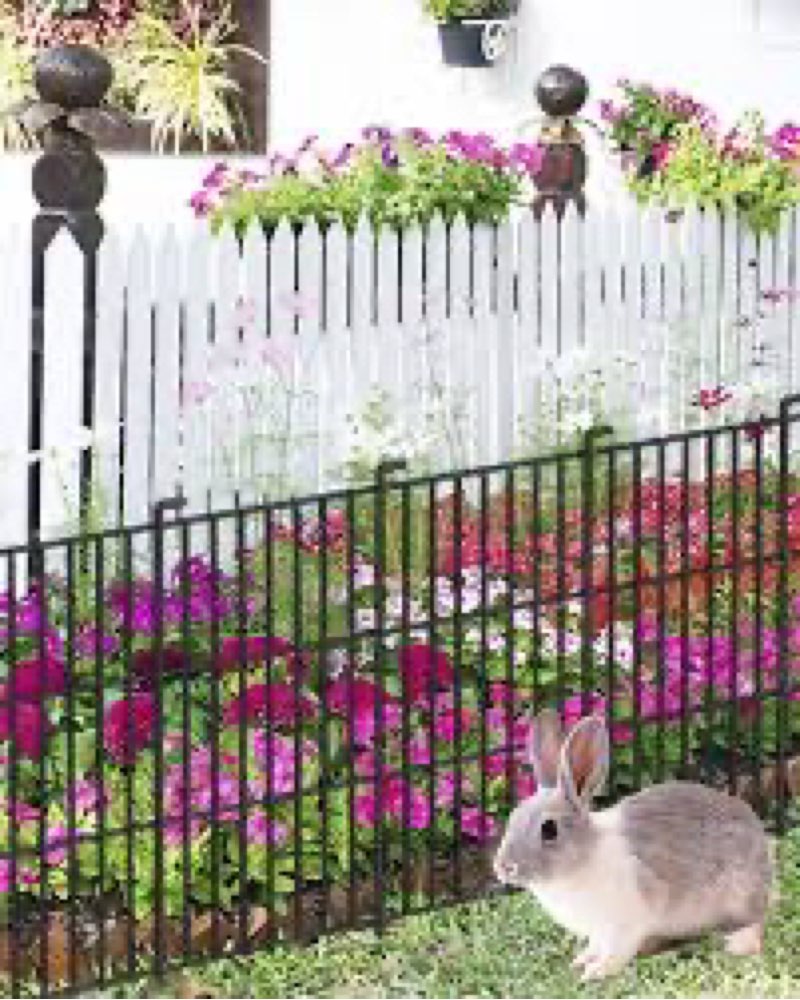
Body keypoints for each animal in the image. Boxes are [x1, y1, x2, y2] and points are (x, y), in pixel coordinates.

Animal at [493, 708, 774, 981]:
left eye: (549, 830)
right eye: (513, 816)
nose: (503, 867)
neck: (584, 856)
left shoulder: (624, 925)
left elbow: (616, 952)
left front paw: (596, 972)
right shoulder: (599, 931)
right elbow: (595, 946)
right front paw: (582, 961)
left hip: (739, 898)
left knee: (754, 925)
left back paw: (737, 946)